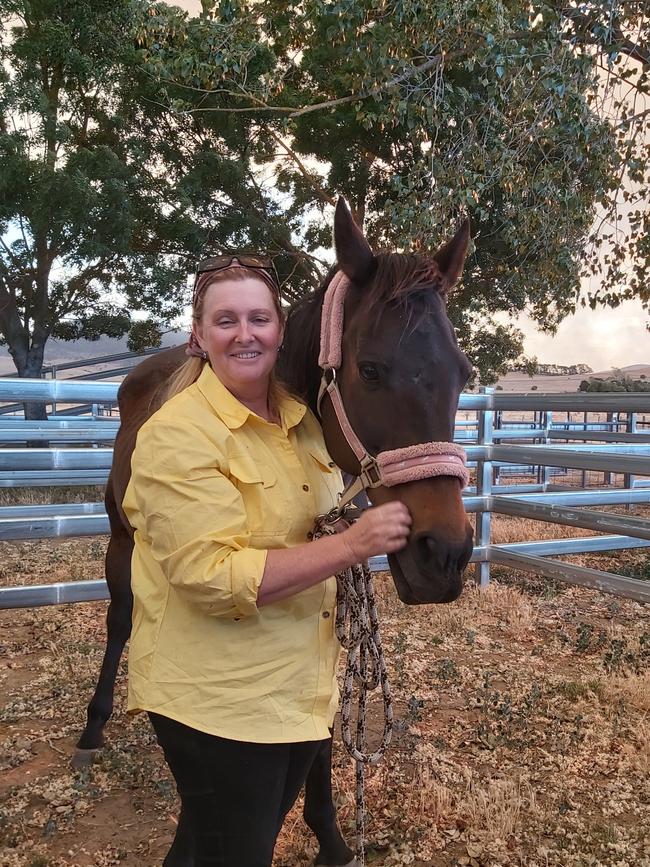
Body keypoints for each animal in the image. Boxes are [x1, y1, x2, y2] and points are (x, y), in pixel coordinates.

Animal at [74, 198, 470, 867]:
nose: (445, 556)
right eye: (370, 370)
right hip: (120, 542)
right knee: (123, 618)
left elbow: (319, 723)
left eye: (463, 374)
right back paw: (94, 724)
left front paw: (331, 836)